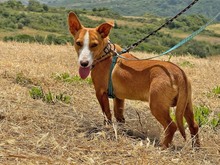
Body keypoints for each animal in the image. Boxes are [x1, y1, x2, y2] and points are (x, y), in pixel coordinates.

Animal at [68, 11, 200, 148]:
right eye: (78, 43)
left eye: (94, 45)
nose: (83, 63)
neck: (105, 53)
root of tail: (178, 73)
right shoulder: (119, 98)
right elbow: (119, 117)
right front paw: (121, 131)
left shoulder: (100, 93)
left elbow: (107, 115)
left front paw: (107, 130)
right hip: (186, 105)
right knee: (194, 125)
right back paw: (196, 147)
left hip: (157, 105)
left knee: (172, 126)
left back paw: (163, 147)